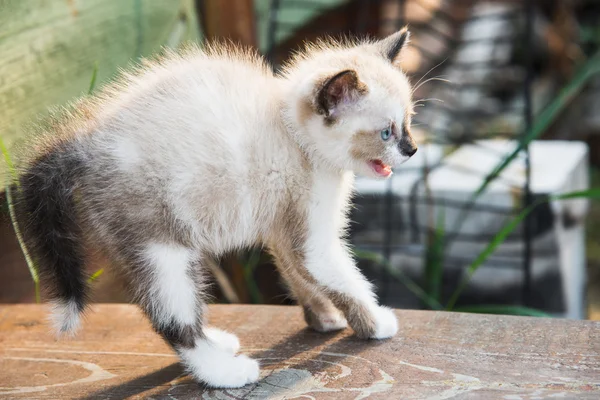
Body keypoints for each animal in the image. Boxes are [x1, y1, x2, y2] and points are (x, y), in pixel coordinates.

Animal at [14, 27, 418, 388]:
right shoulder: (313, 235)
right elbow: (344, 278)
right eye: (386, 132)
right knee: (171, 319)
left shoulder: (282, 228)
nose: (412, 150)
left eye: (409, 121)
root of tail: (84, 143)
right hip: (161, 247)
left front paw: (324, 318)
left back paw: (217, 344)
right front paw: (374, 323)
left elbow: (298, 275)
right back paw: (223, 372)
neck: (293, 132)